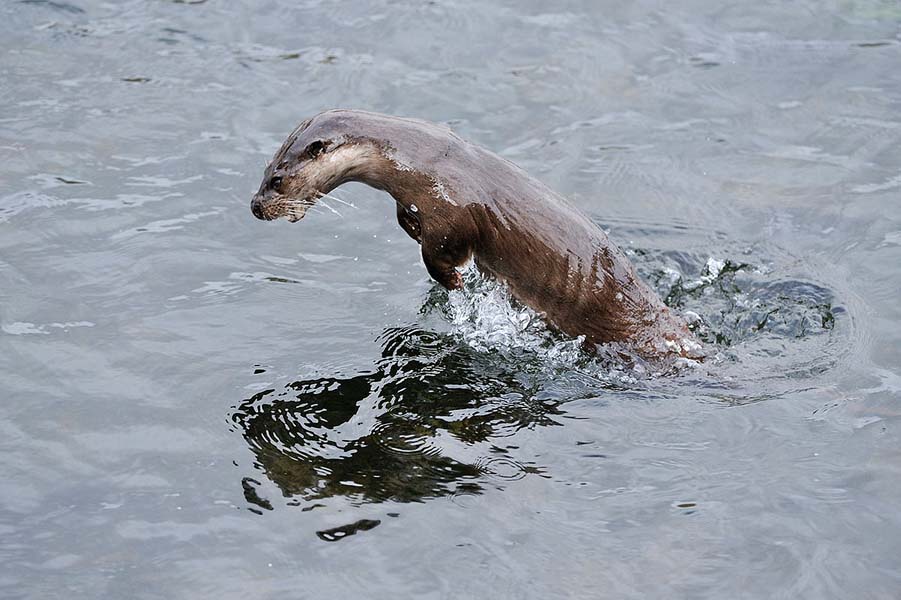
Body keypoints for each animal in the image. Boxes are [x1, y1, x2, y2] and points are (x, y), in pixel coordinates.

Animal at [251, 109, 698, 359]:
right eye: (263, 171)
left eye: (276, 180)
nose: (255, 206)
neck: (417, 161)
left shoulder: (449, 208)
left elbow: (441, 254)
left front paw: (454, 282)